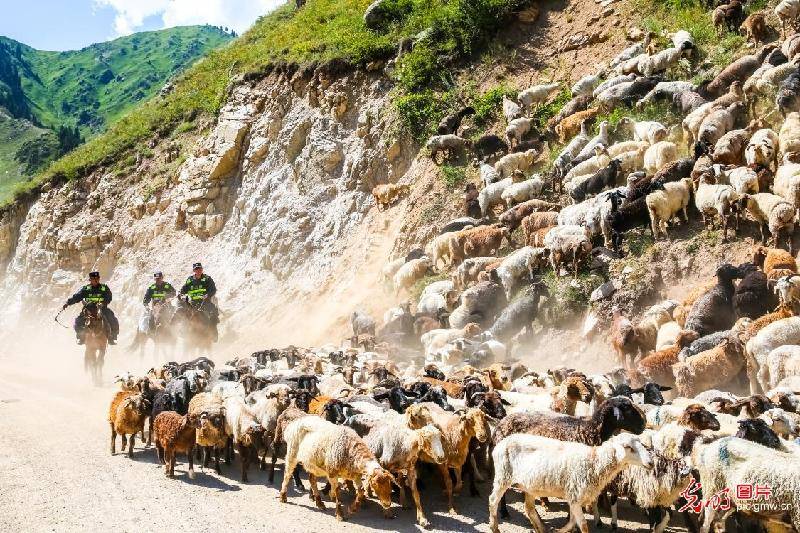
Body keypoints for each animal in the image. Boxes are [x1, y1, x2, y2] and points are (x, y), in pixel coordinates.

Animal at [484, 432, 652, 532]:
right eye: (628, 447)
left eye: (642, 445)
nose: (650, 462)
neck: (594, 462)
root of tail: (501, 442)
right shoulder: (576, 498)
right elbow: (583, 524)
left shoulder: (574, 498)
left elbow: (572, 522)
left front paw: (561, 530)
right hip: (503, 476)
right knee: (492, 500)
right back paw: (494, 527)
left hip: (530, 485)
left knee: (529, 508)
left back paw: (541, 528)